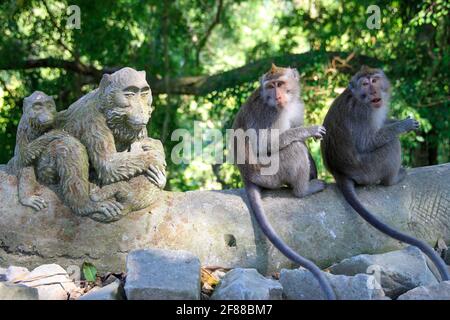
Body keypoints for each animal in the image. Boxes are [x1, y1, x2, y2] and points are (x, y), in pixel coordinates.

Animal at [234, 64, 336, 300]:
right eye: (271, 86)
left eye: (280, 84)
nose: (277, 95)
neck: (285, 105)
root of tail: (246, 174)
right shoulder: (271, 114)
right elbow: (265, 144)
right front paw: (309, 130)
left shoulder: (297, 105)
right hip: (268, 172)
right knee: (293, 147)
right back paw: (303, 190)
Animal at [322, 66, 448, 282]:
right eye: (365, 84)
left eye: (374, 80)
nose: (373, 91)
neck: (361, 98)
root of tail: (340, 172)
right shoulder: (363, 113)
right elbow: (368, 141)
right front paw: (402, 126)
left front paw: (398, 120)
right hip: (369, 169)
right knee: (392, 143)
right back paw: (394, 178)